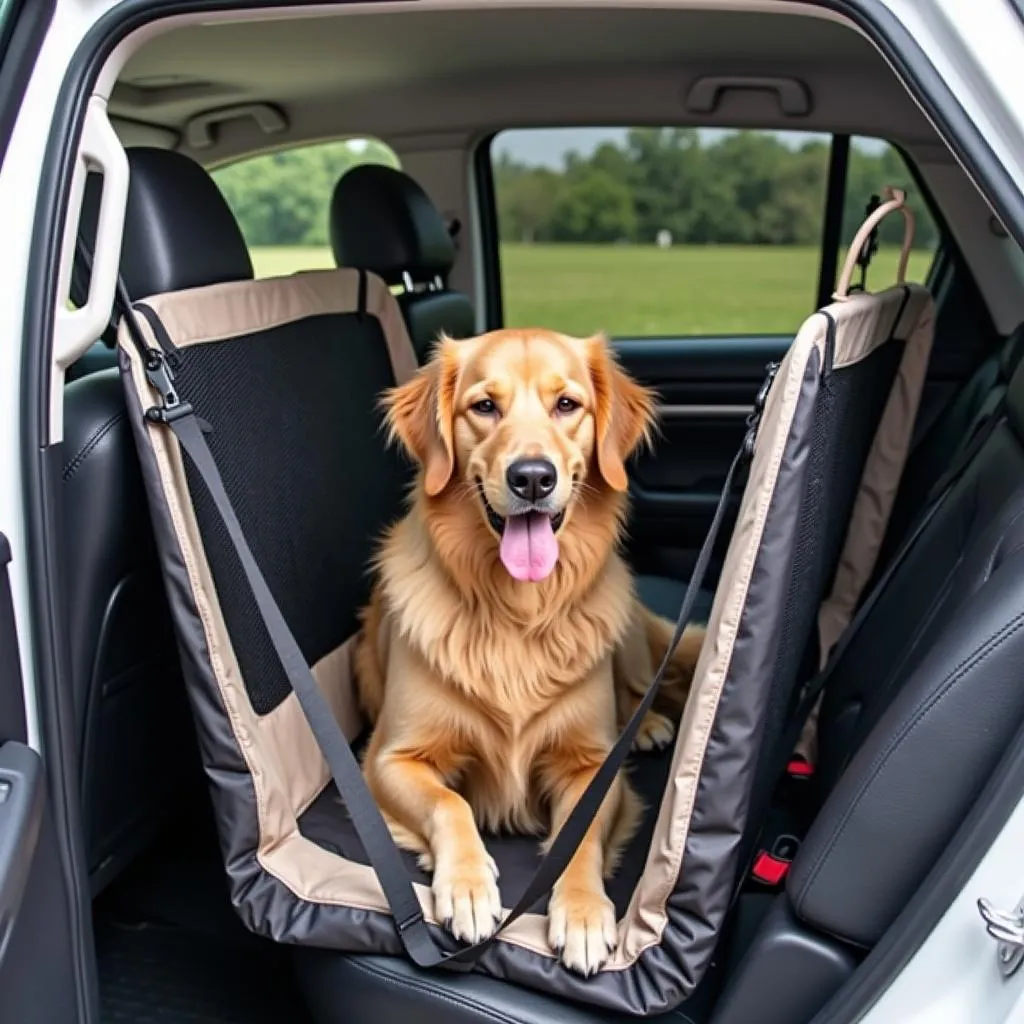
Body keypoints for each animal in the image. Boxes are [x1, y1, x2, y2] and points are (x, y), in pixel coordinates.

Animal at [352, 327, 704, 974]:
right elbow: (451, 804)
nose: (533, 477)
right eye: (484, 406)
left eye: (566, 405)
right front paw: (467, 888)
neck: (515, 612)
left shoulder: (591, 766)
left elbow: (579, 833)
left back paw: (644, 726)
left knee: (642, 686)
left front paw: (584, 913)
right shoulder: (389, 758)